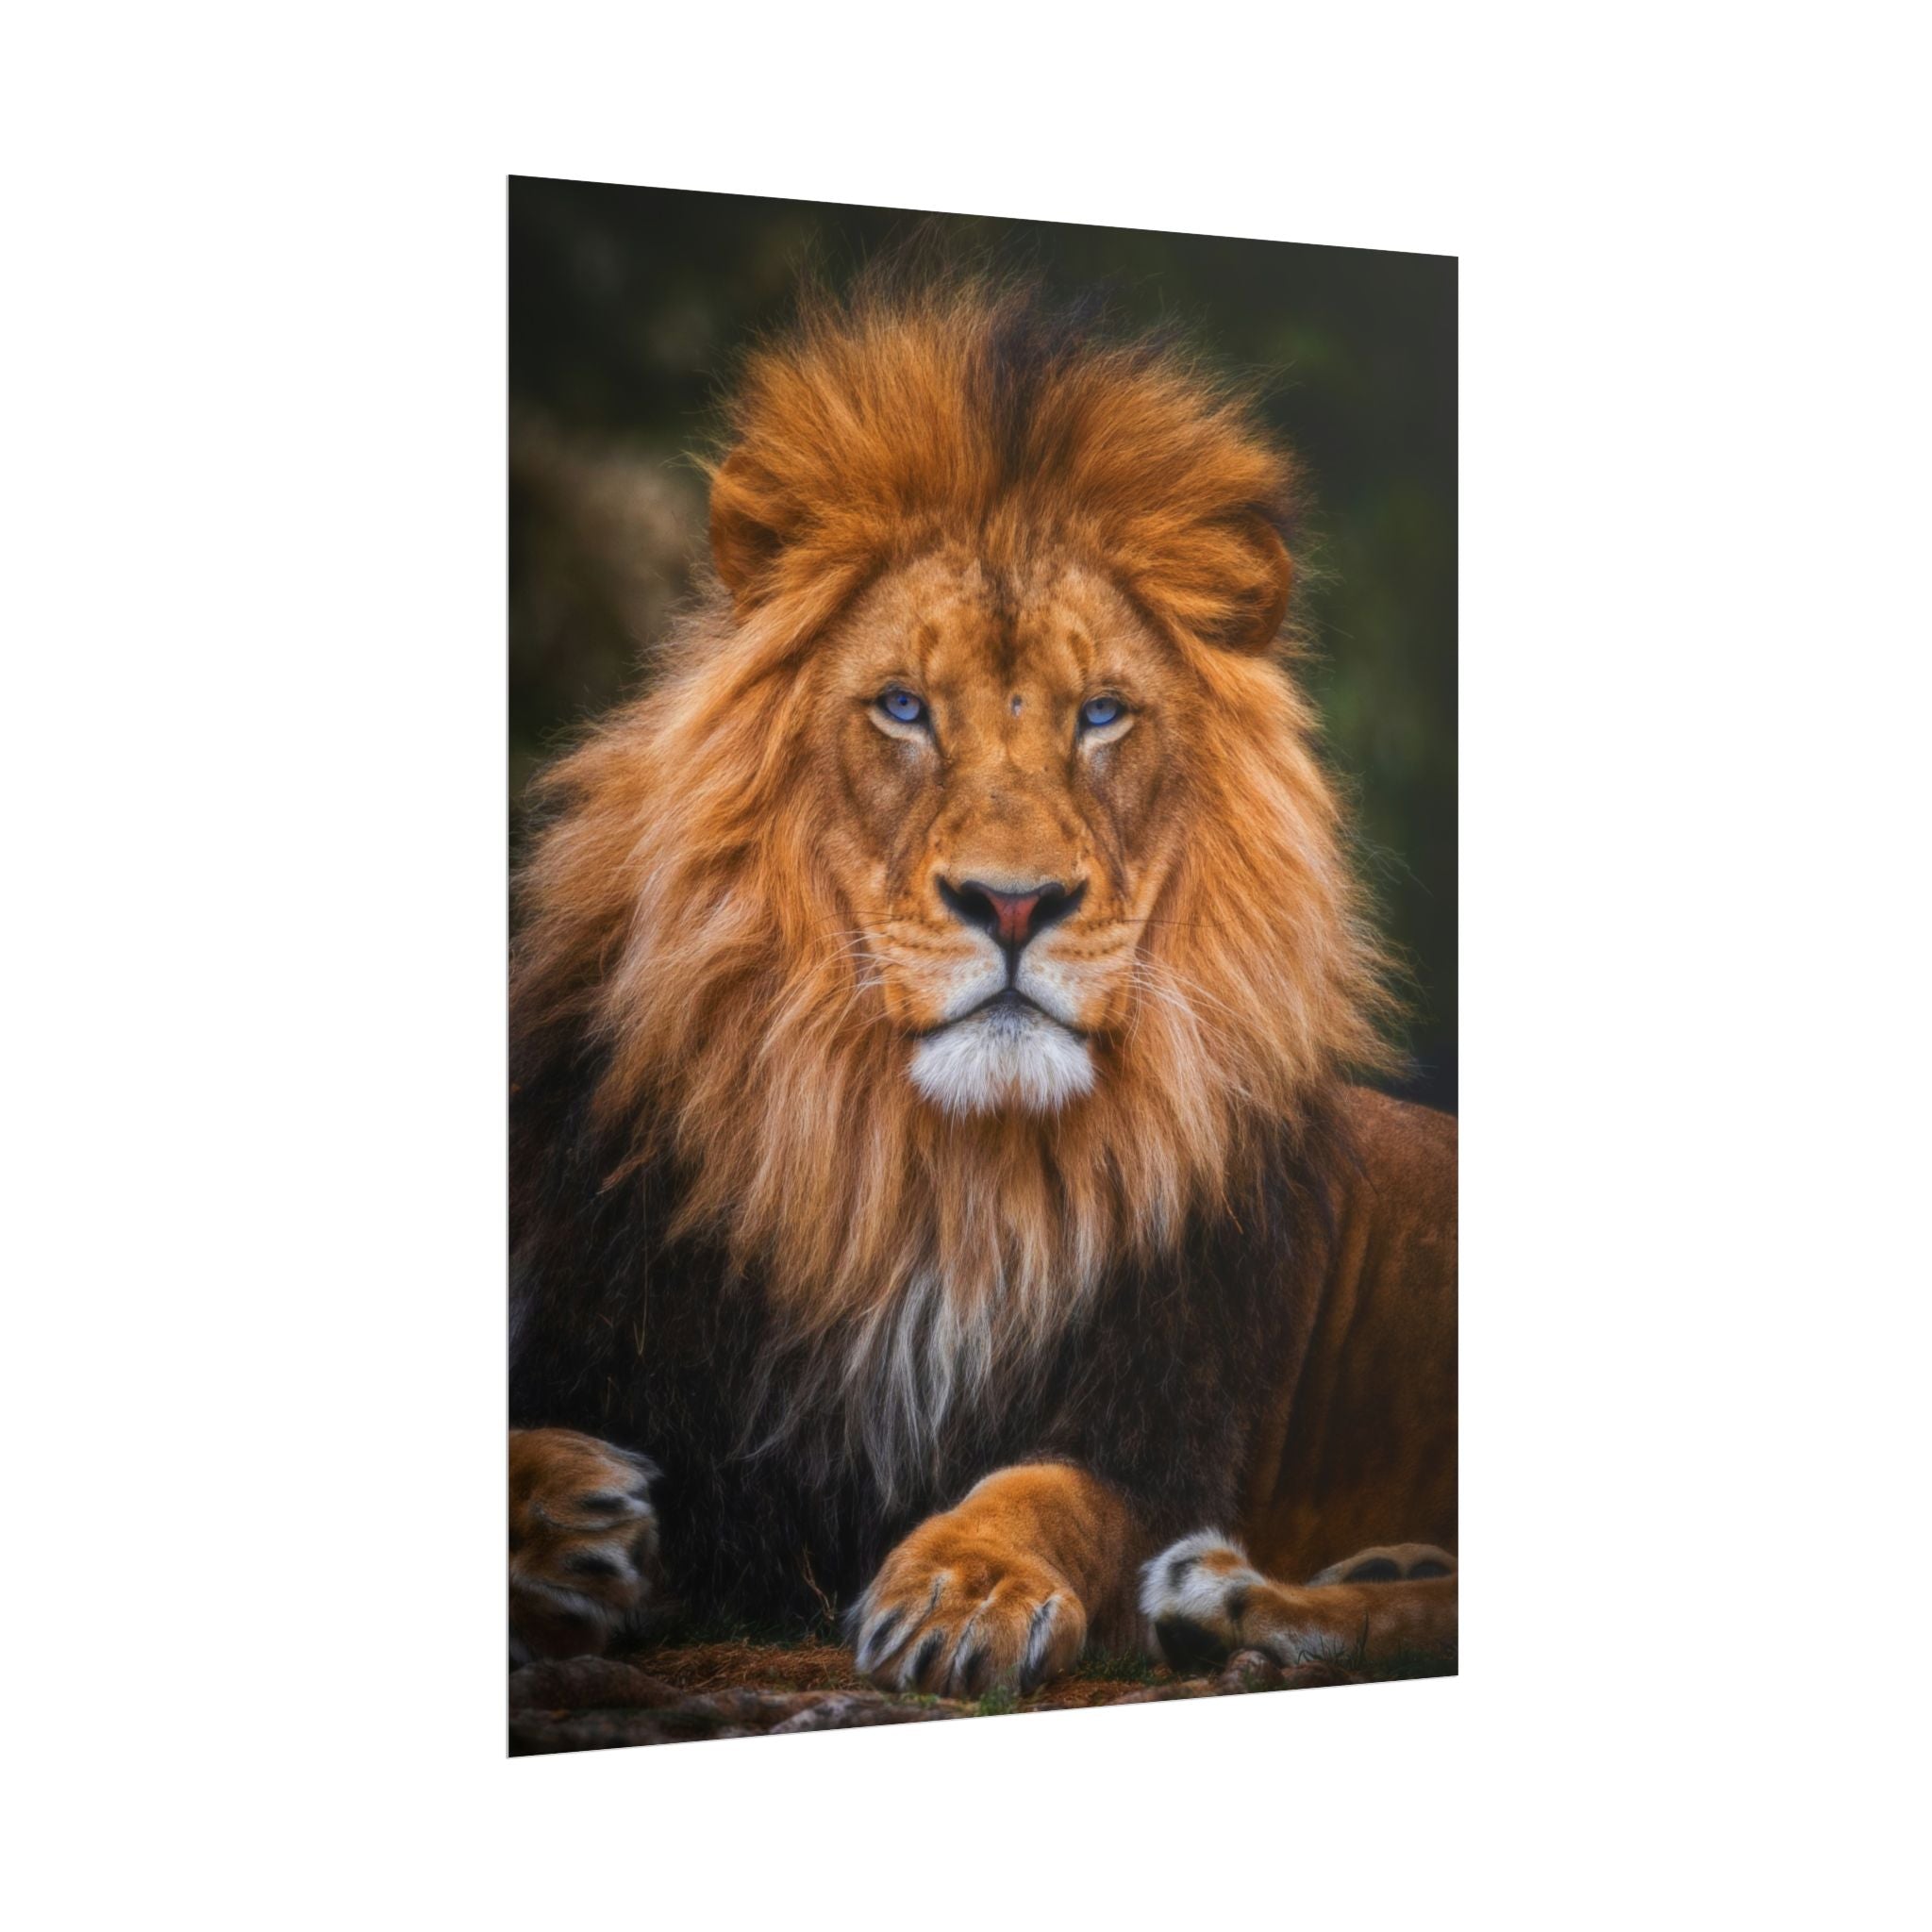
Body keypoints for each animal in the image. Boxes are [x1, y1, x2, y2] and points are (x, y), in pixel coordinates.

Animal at [508, 275, 1456, 1696]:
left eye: (1101, 714)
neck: (933, 1179)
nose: (1013, 904)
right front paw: (567, 1514)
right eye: (903, 707)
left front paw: (966, 1586)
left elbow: (1048, 1490)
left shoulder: (1161, 1425)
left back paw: (1236, 1601)